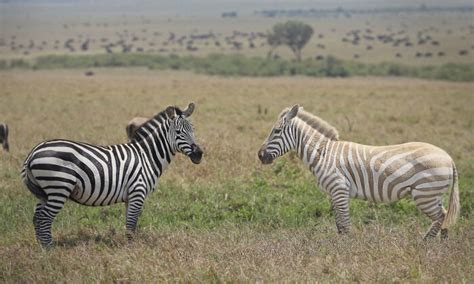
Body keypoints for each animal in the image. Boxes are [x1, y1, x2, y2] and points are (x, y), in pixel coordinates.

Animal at [21, 103, 203, 247]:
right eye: (179, 132)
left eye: (193, 130)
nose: (199, 154)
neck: (146, 155)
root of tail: (33, 152)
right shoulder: (138, 192)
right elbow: (131, 224)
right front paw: (131, 250)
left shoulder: (130, 196)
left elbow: (129, 224)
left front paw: (129, 246)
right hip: (58, 187)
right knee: (45, 218)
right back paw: (49, 250)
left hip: (45, 192)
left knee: (37, 217)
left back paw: (41, 247)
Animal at [258, 105, 462, 240]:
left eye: (276, 131)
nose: (260, 156)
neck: (323, 154)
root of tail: (448, 157)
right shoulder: (333, 193)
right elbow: (339, 224)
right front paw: (341, 244)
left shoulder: (339, 189)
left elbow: (345, 223)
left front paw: (347, 249)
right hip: (432, 194)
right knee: (444, 215)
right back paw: (442, 243)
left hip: (425, 193)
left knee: (441, 216)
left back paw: (426, 243)